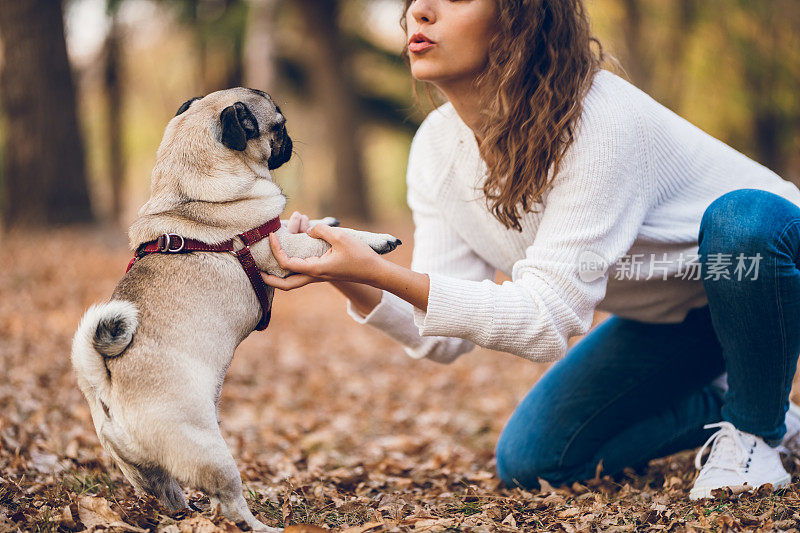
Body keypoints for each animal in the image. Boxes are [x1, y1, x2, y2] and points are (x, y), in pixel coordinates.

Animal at [70, 87, 400, 528]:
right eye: (278, 126)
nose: (289, 140)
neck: (188, 190)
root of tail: (106, 390)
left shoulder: (280, 231)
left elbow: (310, 224)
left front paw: (326, 218)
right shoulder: (282, 247)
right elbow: (325, 237)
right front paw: (375, 239)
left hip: (149, 472)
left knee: (171, 494)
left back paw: (187, 512)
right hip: (212, 453)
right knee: (231, 505)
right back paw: (264, 527)